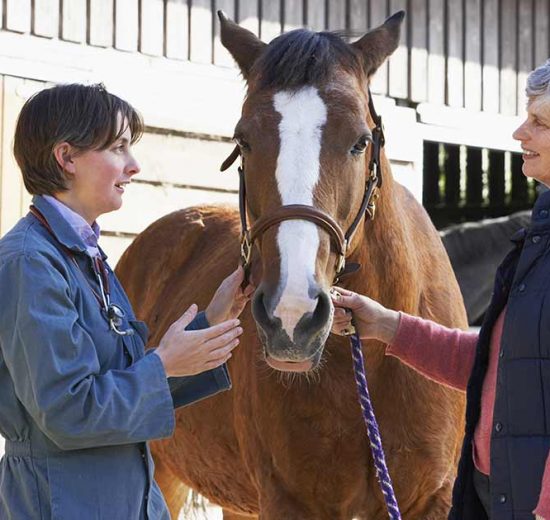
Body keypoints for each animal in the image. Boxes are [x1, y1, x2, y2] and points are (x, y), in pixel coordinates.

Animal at [118, 12, 468, 520]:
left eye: (360, 141)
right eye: (243, 140)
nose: (292, 315)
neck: (370, 367)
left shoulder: (431, 499)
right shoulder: (290, 500)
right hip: (166, 474)